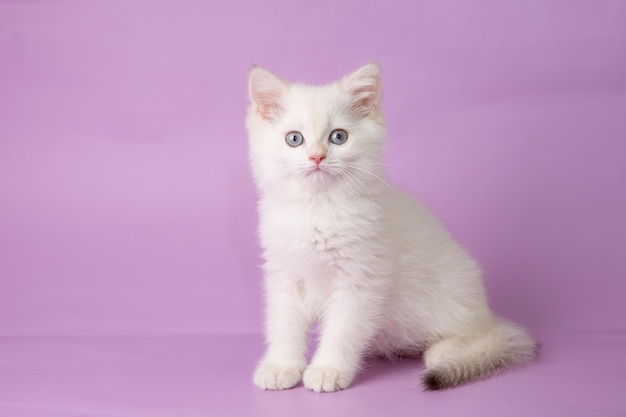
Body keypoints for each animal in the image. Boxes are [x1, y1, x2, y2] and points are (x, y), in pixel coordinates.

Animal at [244, 63, 532, 392]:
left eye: (338, 137)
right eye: (294, 139)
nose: (317, 156)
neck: (319, 208)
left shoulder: (360, 280)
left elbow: (342, 331)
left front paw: (328, 369)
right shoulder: (284, 275)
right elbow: (284, 325)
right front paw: (282, 366)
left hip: (452, 294)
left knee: (481, 334)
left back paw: (446, 351)